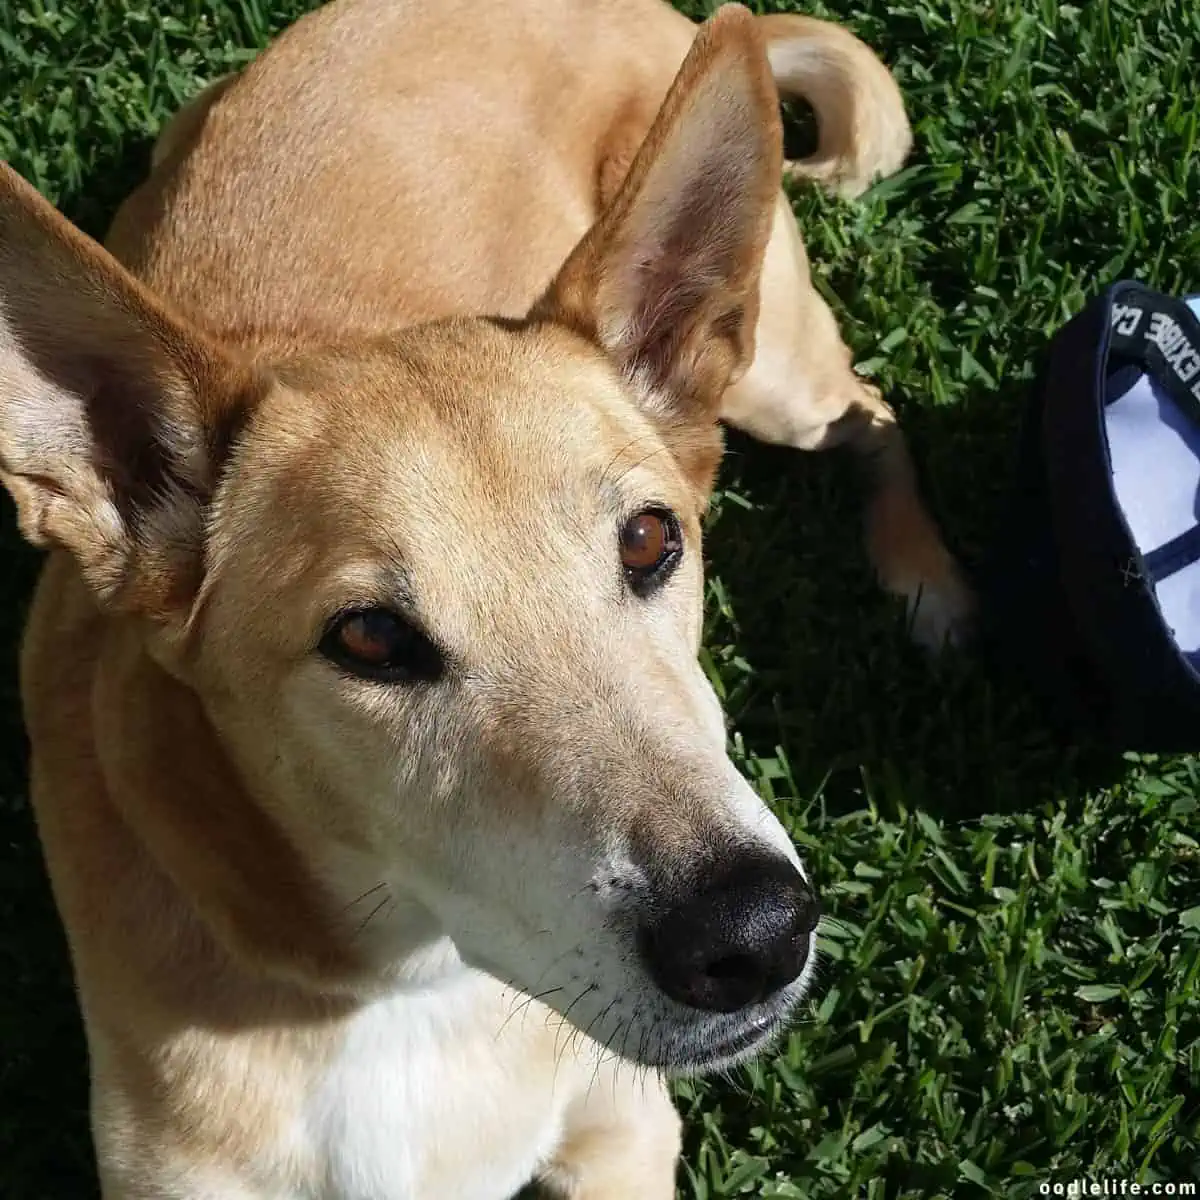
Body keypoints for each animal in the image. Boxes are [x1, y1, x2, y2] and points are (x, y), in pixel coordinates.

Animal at [0, 2, 964, 1200]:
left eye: (649, 541)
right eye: (370, 638)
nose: (754, 933)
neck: (404, 1001)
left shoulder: (625, 1134)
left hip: (779, 376)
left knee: (873, 410)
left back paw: (928, 581)